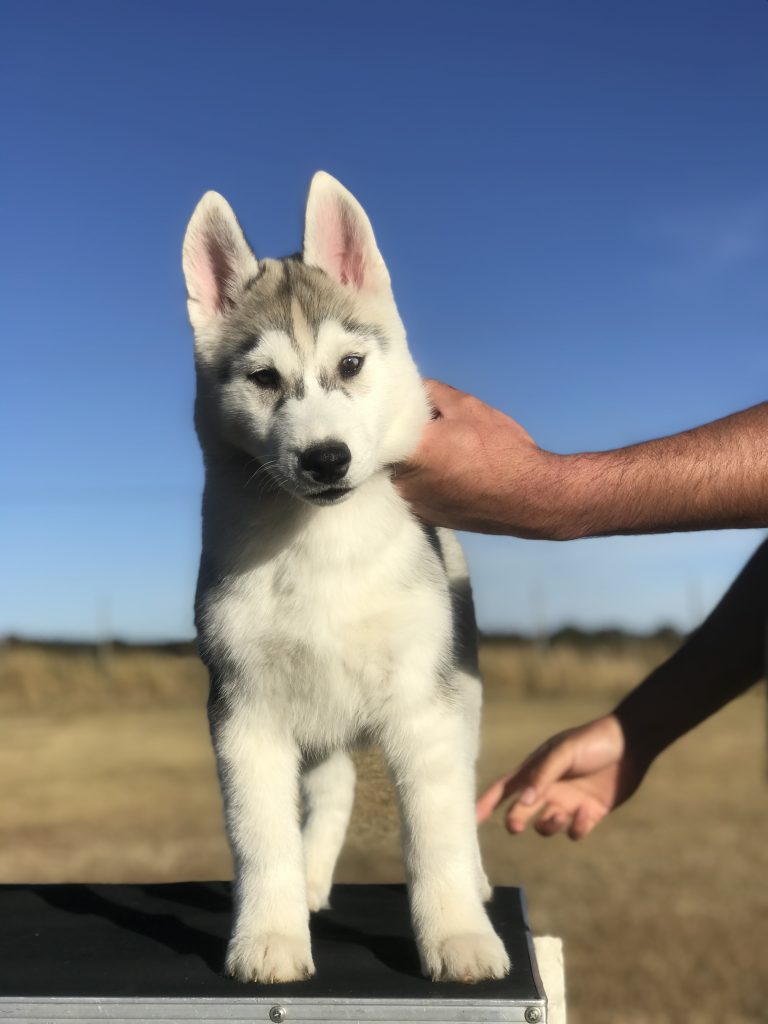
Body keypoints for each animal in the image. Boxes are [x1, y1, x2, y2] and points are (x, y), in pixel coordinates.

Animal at [183, 174, 512, 983]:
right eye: (264, 378)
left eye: (352, 366)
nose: (326, 458)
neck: (322, 544)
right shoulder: (244, 710)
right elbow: (259, 837)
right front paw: (269, 936)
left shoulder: (424, 706)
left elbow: (436, 833)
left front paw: (458, 934)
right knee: (331, 789)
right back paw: (308, 882)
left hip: (461, 687)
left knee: (460, 785)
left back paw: (477, 885)